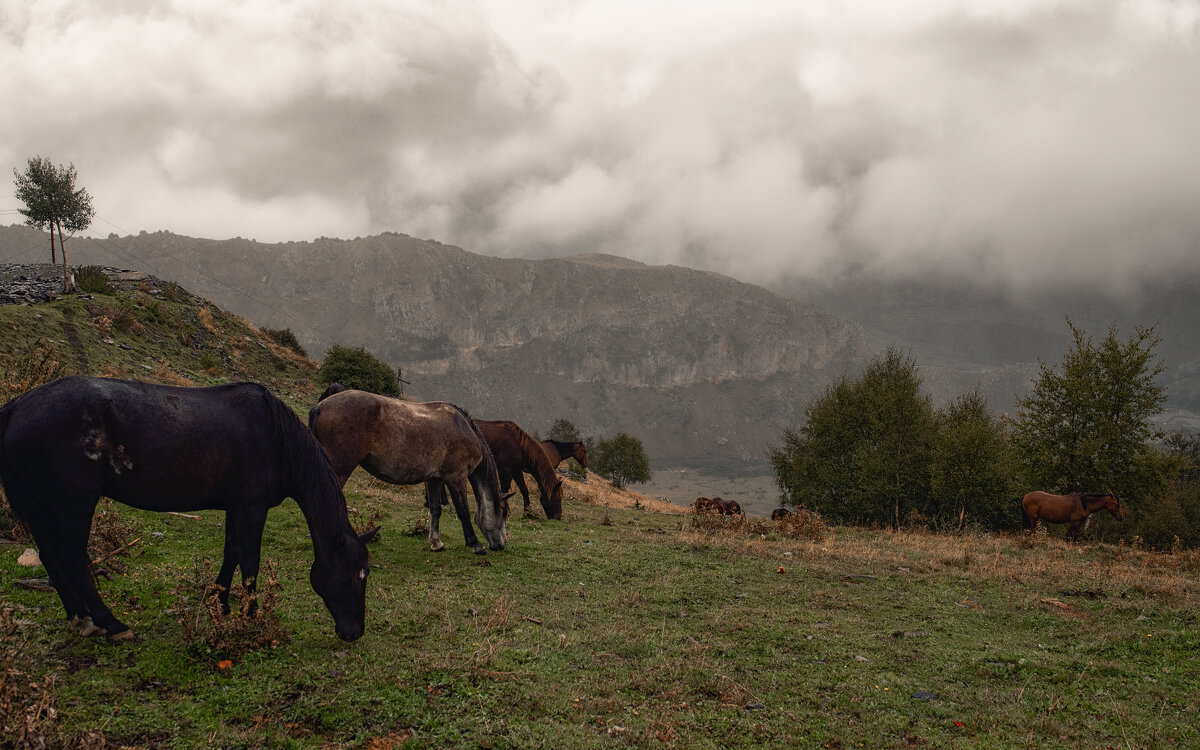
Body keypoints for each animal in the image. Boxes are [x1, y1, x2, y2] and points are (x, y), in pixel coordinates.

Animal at [0, 376, 372, 638]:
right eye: (352, 577)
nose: (354, 633)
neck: (274, 436)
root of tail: (17, 406)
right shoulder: (252, 507)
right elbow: (250, 561)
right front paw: (251, 614)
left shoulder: (236, 506)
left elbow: (231, 552)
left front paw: (221, 603)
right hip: (73, 504)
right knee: (73, 557)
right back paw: (112, 624)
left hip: (42, 505)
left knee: (51, 555)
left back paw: (80, 618)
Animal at [307, 388, 508, 552]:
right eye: (504, 514)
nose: (501, 545)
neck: (464, 430)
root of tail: (320, 407)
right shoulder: (456, 478)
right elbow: (463, 510)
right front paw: (475, 544)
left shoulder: (434, 479)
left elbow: (435, 509)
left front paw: (436, 543)